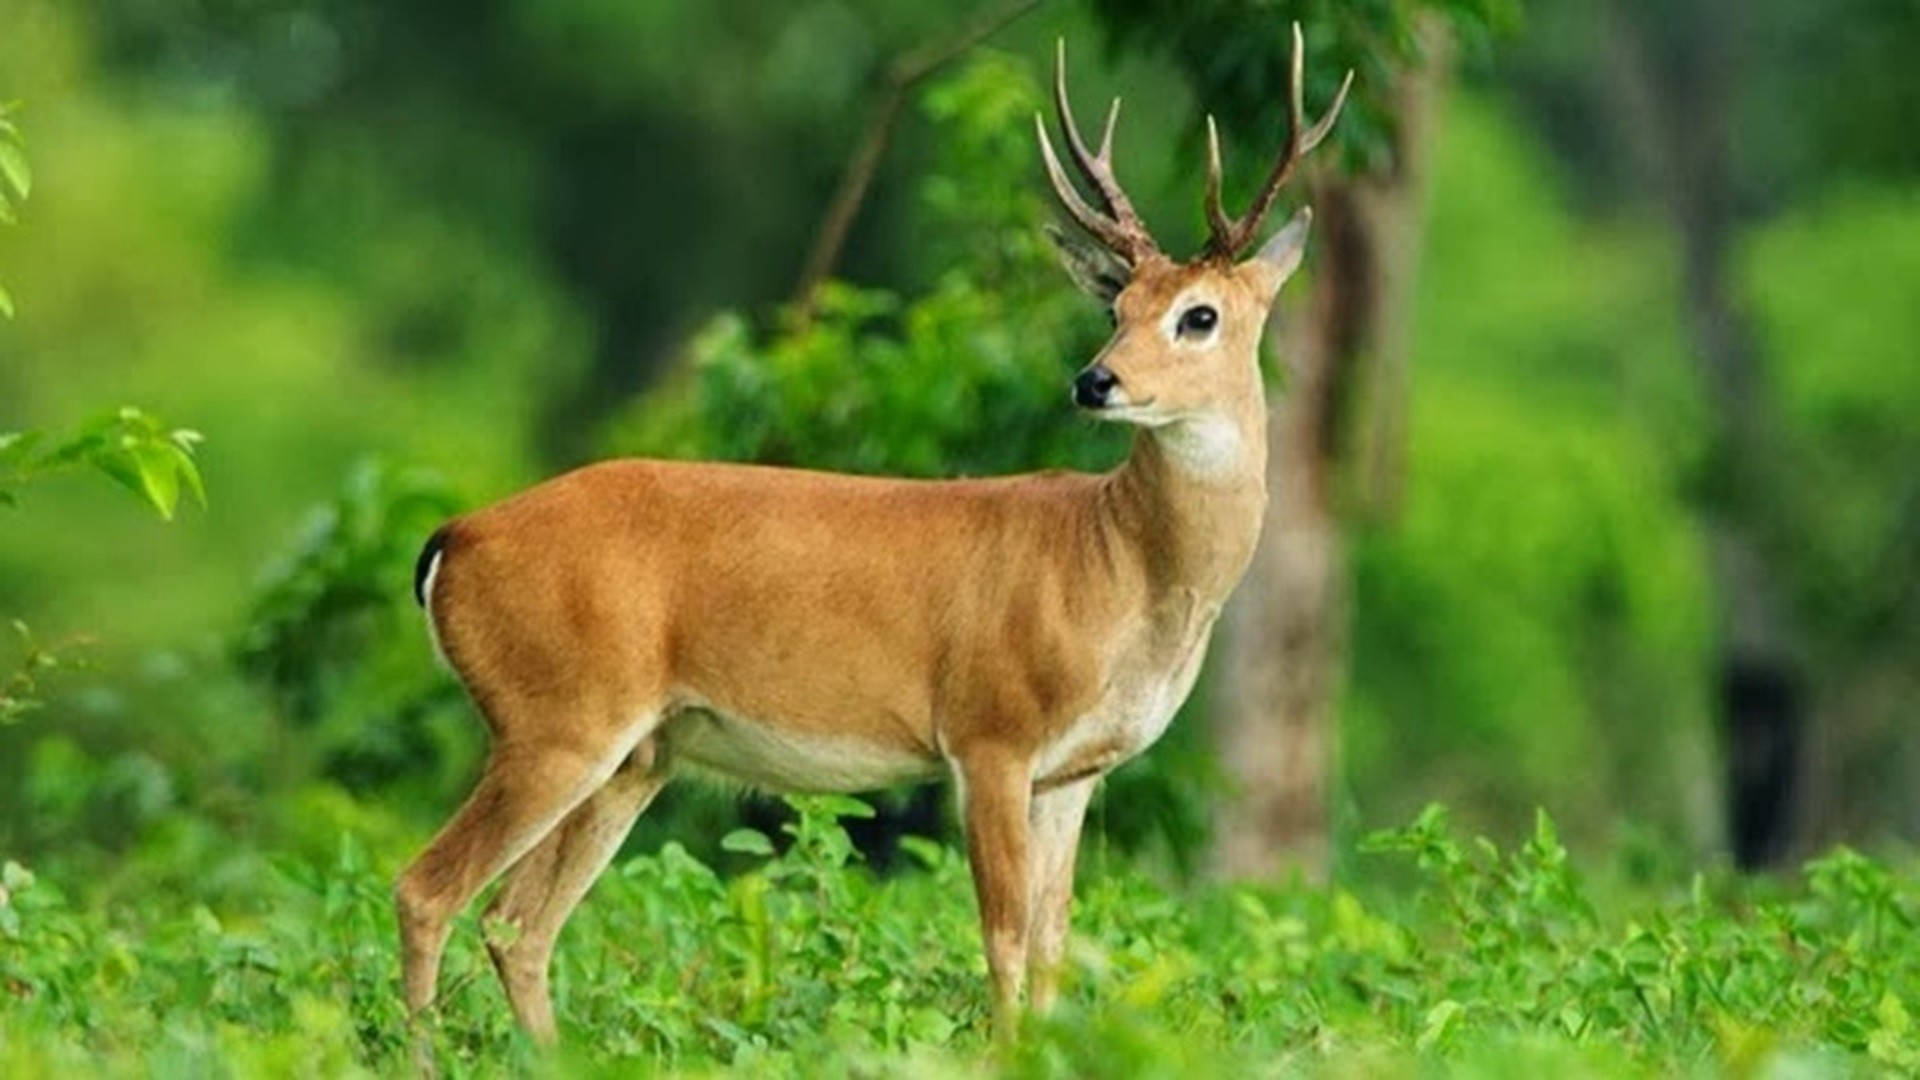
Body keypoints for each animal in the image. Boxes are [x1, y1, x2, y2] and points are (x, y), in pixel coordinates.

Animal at [395, 21, 1344, 1037]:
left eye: (1198, 315)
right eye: (1116, 307)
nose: (1096, 381)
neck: (1121, 564)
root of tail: (454, 539)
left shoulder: (1072, 773)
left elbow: (1056, 946)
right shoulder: (990, 732)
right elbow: (1005, 940)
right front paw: (999, 1051)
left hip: (636, 755)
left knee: (517, 923)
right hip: (559, 719)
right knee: (429, 890)